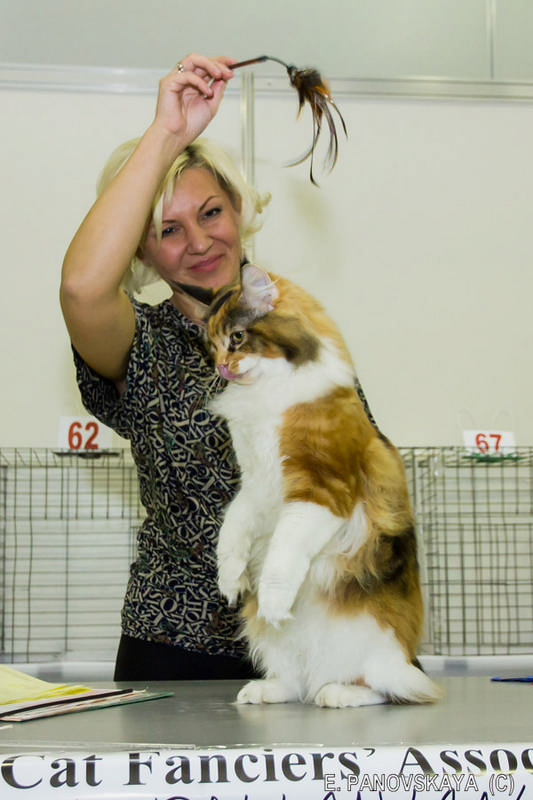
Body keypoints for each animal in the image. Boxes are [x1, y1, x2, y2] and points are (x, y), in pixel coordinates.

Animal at [205, 263, 440, 708]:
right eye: (211, 346)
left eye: (237, 338)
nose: (221, 366)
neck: (270, 393)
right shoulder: (254, 487)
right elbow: (231, 533)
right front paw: (230, 578)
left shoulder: (320, 491)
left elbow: (282, 556)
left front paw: (274, 599)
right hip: (282, 650)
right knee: (295, 682)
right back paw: (267, 690)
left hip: (374, 648)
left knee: (385, 688)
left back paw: (339, 693)